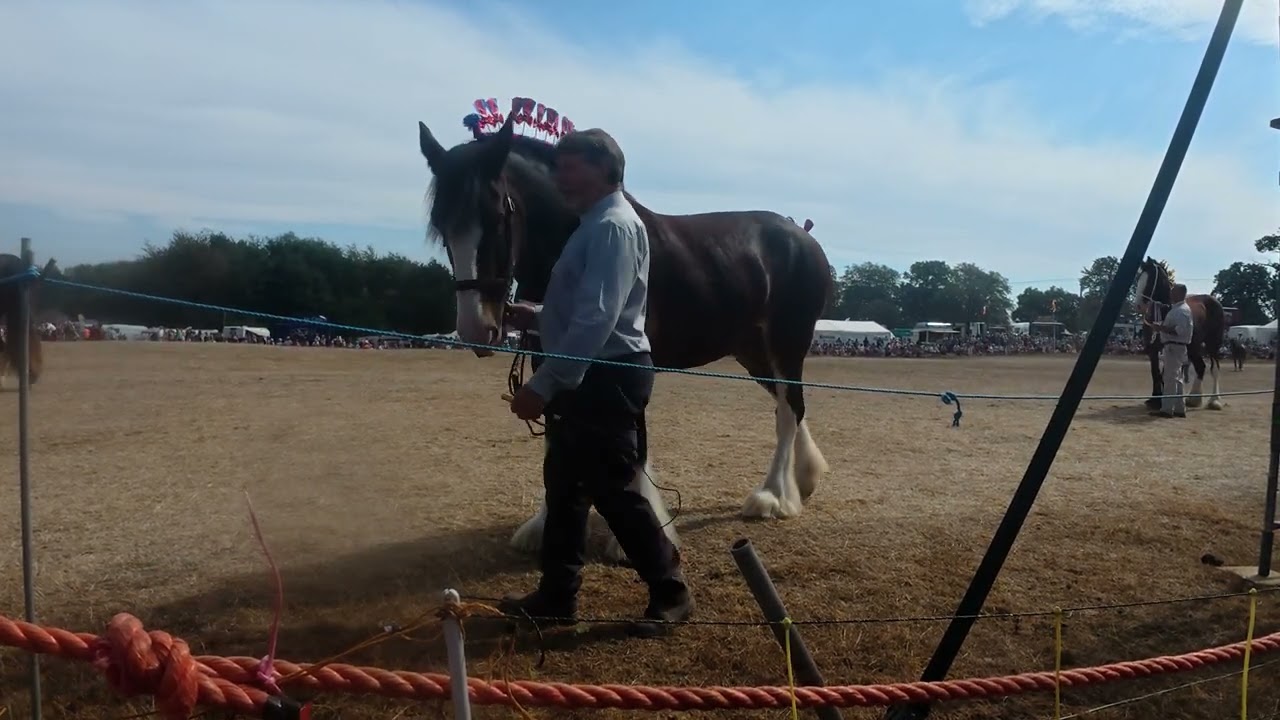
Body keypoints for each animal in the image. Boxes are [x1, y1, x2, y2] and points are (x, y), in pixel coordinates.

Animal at [417, 98, 833, 563]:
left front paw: (630, 538)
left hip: (786, 342)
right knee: (790, 404)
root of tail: (801, 235)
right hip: (751, 350)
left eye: (496, 217)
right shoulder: (554, 358)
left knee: (787, 410)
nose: (476, 327)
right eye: (441, 225)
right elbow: (556, 428)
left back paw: (773, 497)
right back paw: (804, 478)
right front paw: (542, 526)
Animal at [1133, 257, 1224, 411]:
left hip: (1213, 343)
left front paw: (1160, 400)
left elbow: (1164, 374)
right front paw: (1154, 399)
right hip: (1194, 347)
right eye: (1139, 277)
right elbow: (1155, 372)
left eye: (1151, 279)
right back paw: (1193, 399)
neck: (1164, 310)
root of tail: (1214, 301)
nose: (1139, 305)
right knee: (1201, 367)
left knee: (1215, 369)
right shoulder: (1153, 350)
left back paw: (1214, 401)